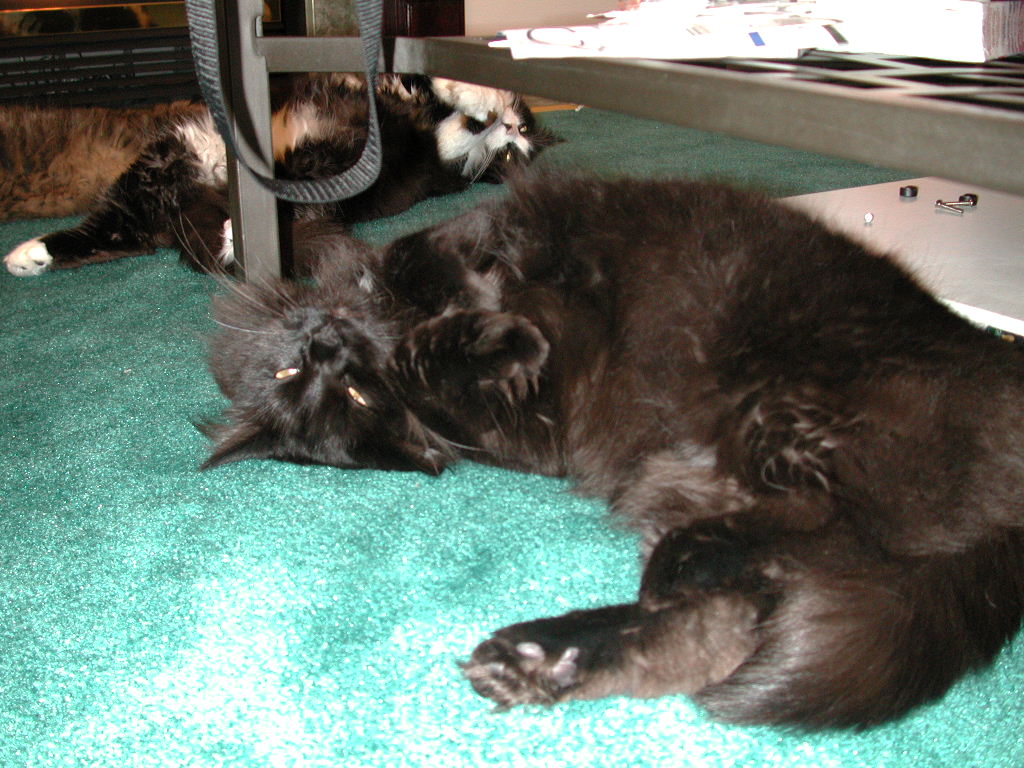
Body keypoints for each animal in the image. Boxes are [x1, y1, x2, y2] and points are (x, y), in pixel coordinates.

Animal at [3, 74, 557, 277]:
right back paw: (27, 256)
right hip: (159, 164)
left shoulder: (419, 154)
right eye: (519, 142)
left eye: (513, 159)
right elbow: (446, 85)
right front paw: (477, 101)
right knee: (111, 233)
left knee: (124, 236)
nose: (512, 133)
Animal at [200, 172, 1024, 729]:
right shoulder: (533, 431)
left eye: (317, 378)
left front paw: (464, 300)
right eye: (355, 398)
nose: (329, 348)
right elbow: (446, 350)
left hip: (779, 413)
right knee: (729, 611)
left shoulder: (467, 249)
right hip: (761, 449)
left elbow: (427, 254)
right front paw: (482, 332)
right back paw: (546, 657)